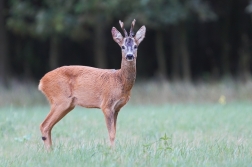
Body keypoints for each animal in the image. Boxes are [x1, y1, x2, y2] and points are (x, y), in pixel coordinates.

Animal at [38, 19, 147, 149]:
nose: (129, 56)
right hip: (60, 99)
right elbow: (111, 133)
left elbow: (115, 131)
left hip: (68, 104)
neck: (120, 80)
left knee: (48, 126)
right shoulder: (106, 104)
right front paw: (112, 151)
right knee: (44, 125)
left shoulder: (117, 108)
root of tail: (41, 82)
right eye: (122, 47)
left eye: (136, 46)